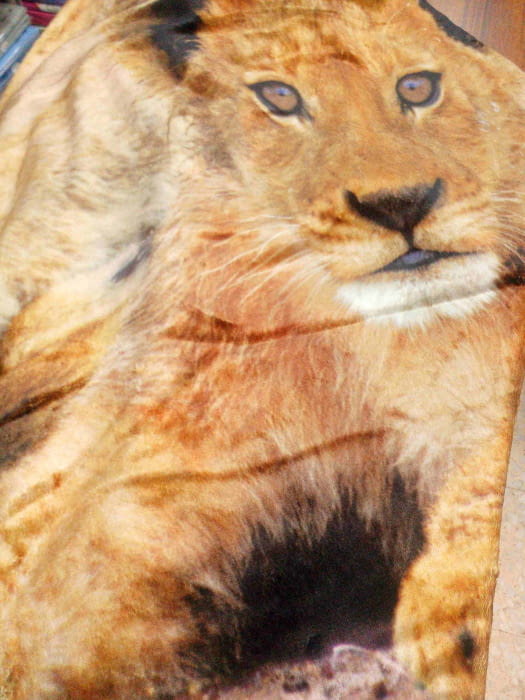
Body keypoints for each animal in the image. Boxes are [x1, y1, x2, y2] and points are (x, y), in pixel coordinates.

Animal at [0, 0, 524, 698]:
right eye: (279, 97)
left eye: (417, 87)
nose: (401, 205)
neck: (350, 348)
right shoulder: (173, 460)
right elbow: (60, 583)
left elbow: (488, 462)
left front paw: (457, 615)